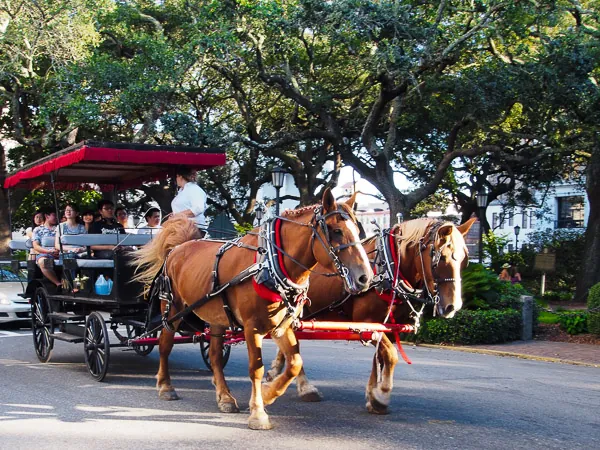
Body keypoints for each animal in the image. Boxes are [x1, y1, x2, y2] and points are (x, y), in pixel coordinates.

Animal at [134, 189, 372, 428]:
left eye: (357, 230)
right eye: (336, 231)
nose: (365, 277)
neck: (270, 264)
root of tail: (177, 248)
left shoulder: (281, 325)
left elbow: (294, 363)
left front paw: (267, 394)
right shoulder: (252, 327)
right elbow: (256, 369)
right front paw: (258, 412)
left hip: (217, 317)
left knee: (215, 356)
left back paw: (225, 397)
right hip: (172, 309)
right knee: (165, 345)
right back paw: (166, 386)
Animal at [266, 218, 474, 414]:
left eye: (465, 260)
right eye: (441, 258)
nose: (452, 306)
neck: (388, 268)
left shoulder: (386, 326)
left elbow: (380, 358)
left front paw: (372, 394)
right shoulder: (367, 323)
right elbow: (390, 355)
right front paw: (381, 395)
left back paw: (277, 371)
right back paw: (305, 387)